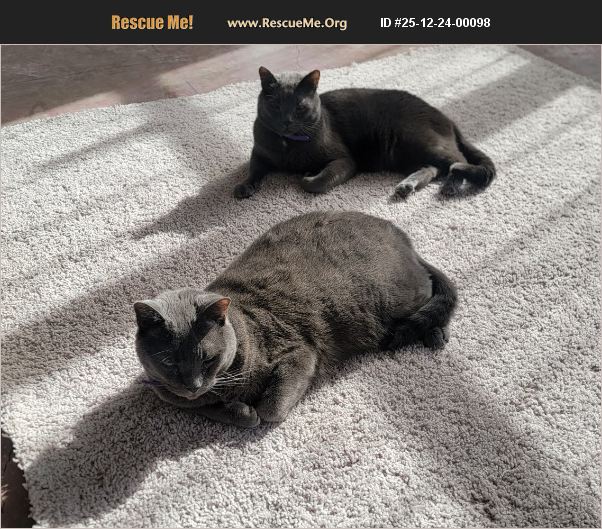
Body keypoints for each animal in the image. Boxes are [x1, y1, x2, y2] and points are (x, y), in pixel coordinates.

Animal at [134, 211, 457, 428]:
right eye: (170, 363)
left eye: (208, 359)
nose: (193, 384)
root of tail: (400, 234)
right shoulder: (173, 396)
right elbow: (204, 406)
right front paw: (241, 412)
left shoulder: (299, 352)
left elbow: (271, 408)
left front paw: (254, 411)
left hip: (395, 295)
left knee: (433, 289)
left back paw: (435, 334)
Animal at [233, 67, 495, 199]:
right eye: (276, 105)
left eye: (299, 107)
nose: (286, 121)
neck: (288, 145)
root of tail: (446, 117)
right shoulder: (259, 154)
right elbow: (253, 170)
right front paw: (244, 187)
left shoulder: (345, 160)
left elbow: (318, 183)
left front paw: (308, 175)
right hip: (407, 152)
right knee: (433, 168)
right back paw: (406, 186)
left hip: (418, 140)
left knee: (456, 161)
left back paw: (451, 186)